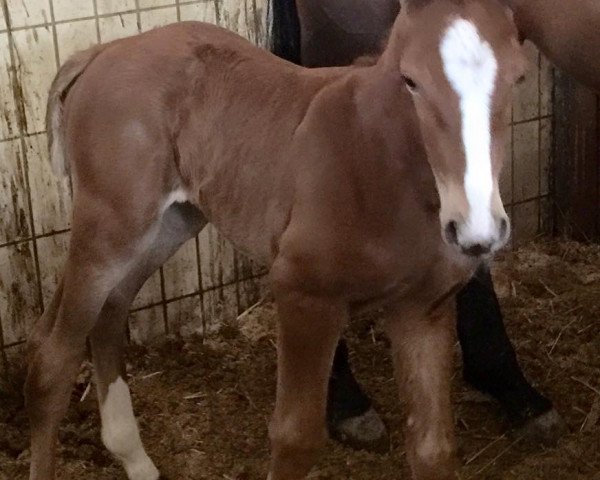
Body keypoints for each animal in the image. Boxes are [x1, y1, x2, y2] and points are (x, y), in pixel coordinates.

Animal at [25, 0, 528, 480]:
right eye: (411, 80)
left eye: (519, 77)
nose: (476, 229)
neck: (377, 158)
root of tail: (102, 51)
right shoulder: (303, 294)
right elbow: (296, 439)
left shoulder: (422, 310)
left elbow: (432, 449)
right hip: (111, 222)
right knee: (53, 353)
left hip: (171, 222)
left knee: (111, 311)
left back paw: (137, 461)